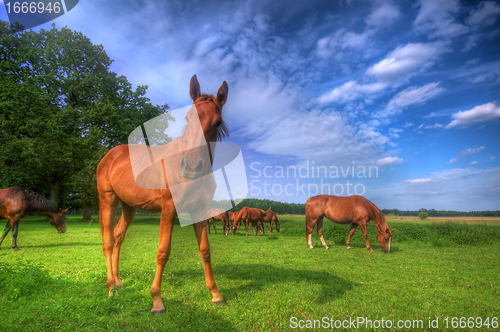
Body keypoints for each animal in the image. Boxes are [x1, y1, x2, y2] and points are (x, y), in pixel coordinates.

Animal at [96, 74, 229, 314]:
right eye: (188, 118)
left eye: (217, 123)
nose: (191, 168)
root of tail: (110, 155)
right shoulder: (168, 209)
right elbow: (163, 252)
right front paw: (157, 301)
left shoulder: (199, 210)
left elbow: (205, 250)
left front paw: (216, 294)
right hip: (107, 199)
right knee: (108, 241)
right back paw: (111, 288)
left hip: (129, 206)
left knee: (119, 236)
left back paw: (118, 282)